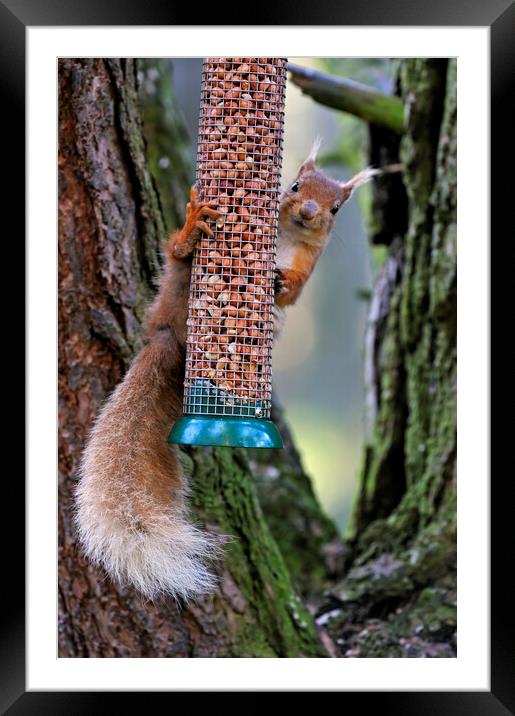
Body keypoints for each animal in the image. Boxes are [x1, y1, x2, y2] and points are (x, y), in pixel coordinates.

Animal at [75, 140, 392, 600]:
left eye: (335, 209)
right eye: (295, 186)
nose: (309, 211)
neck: (288, 236)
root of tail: (167, 334)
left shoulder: (307, 264)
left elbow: (293, 293)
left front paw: (281, 282)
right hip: (183, 277)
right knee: (178, 253)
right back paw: (193, 228)